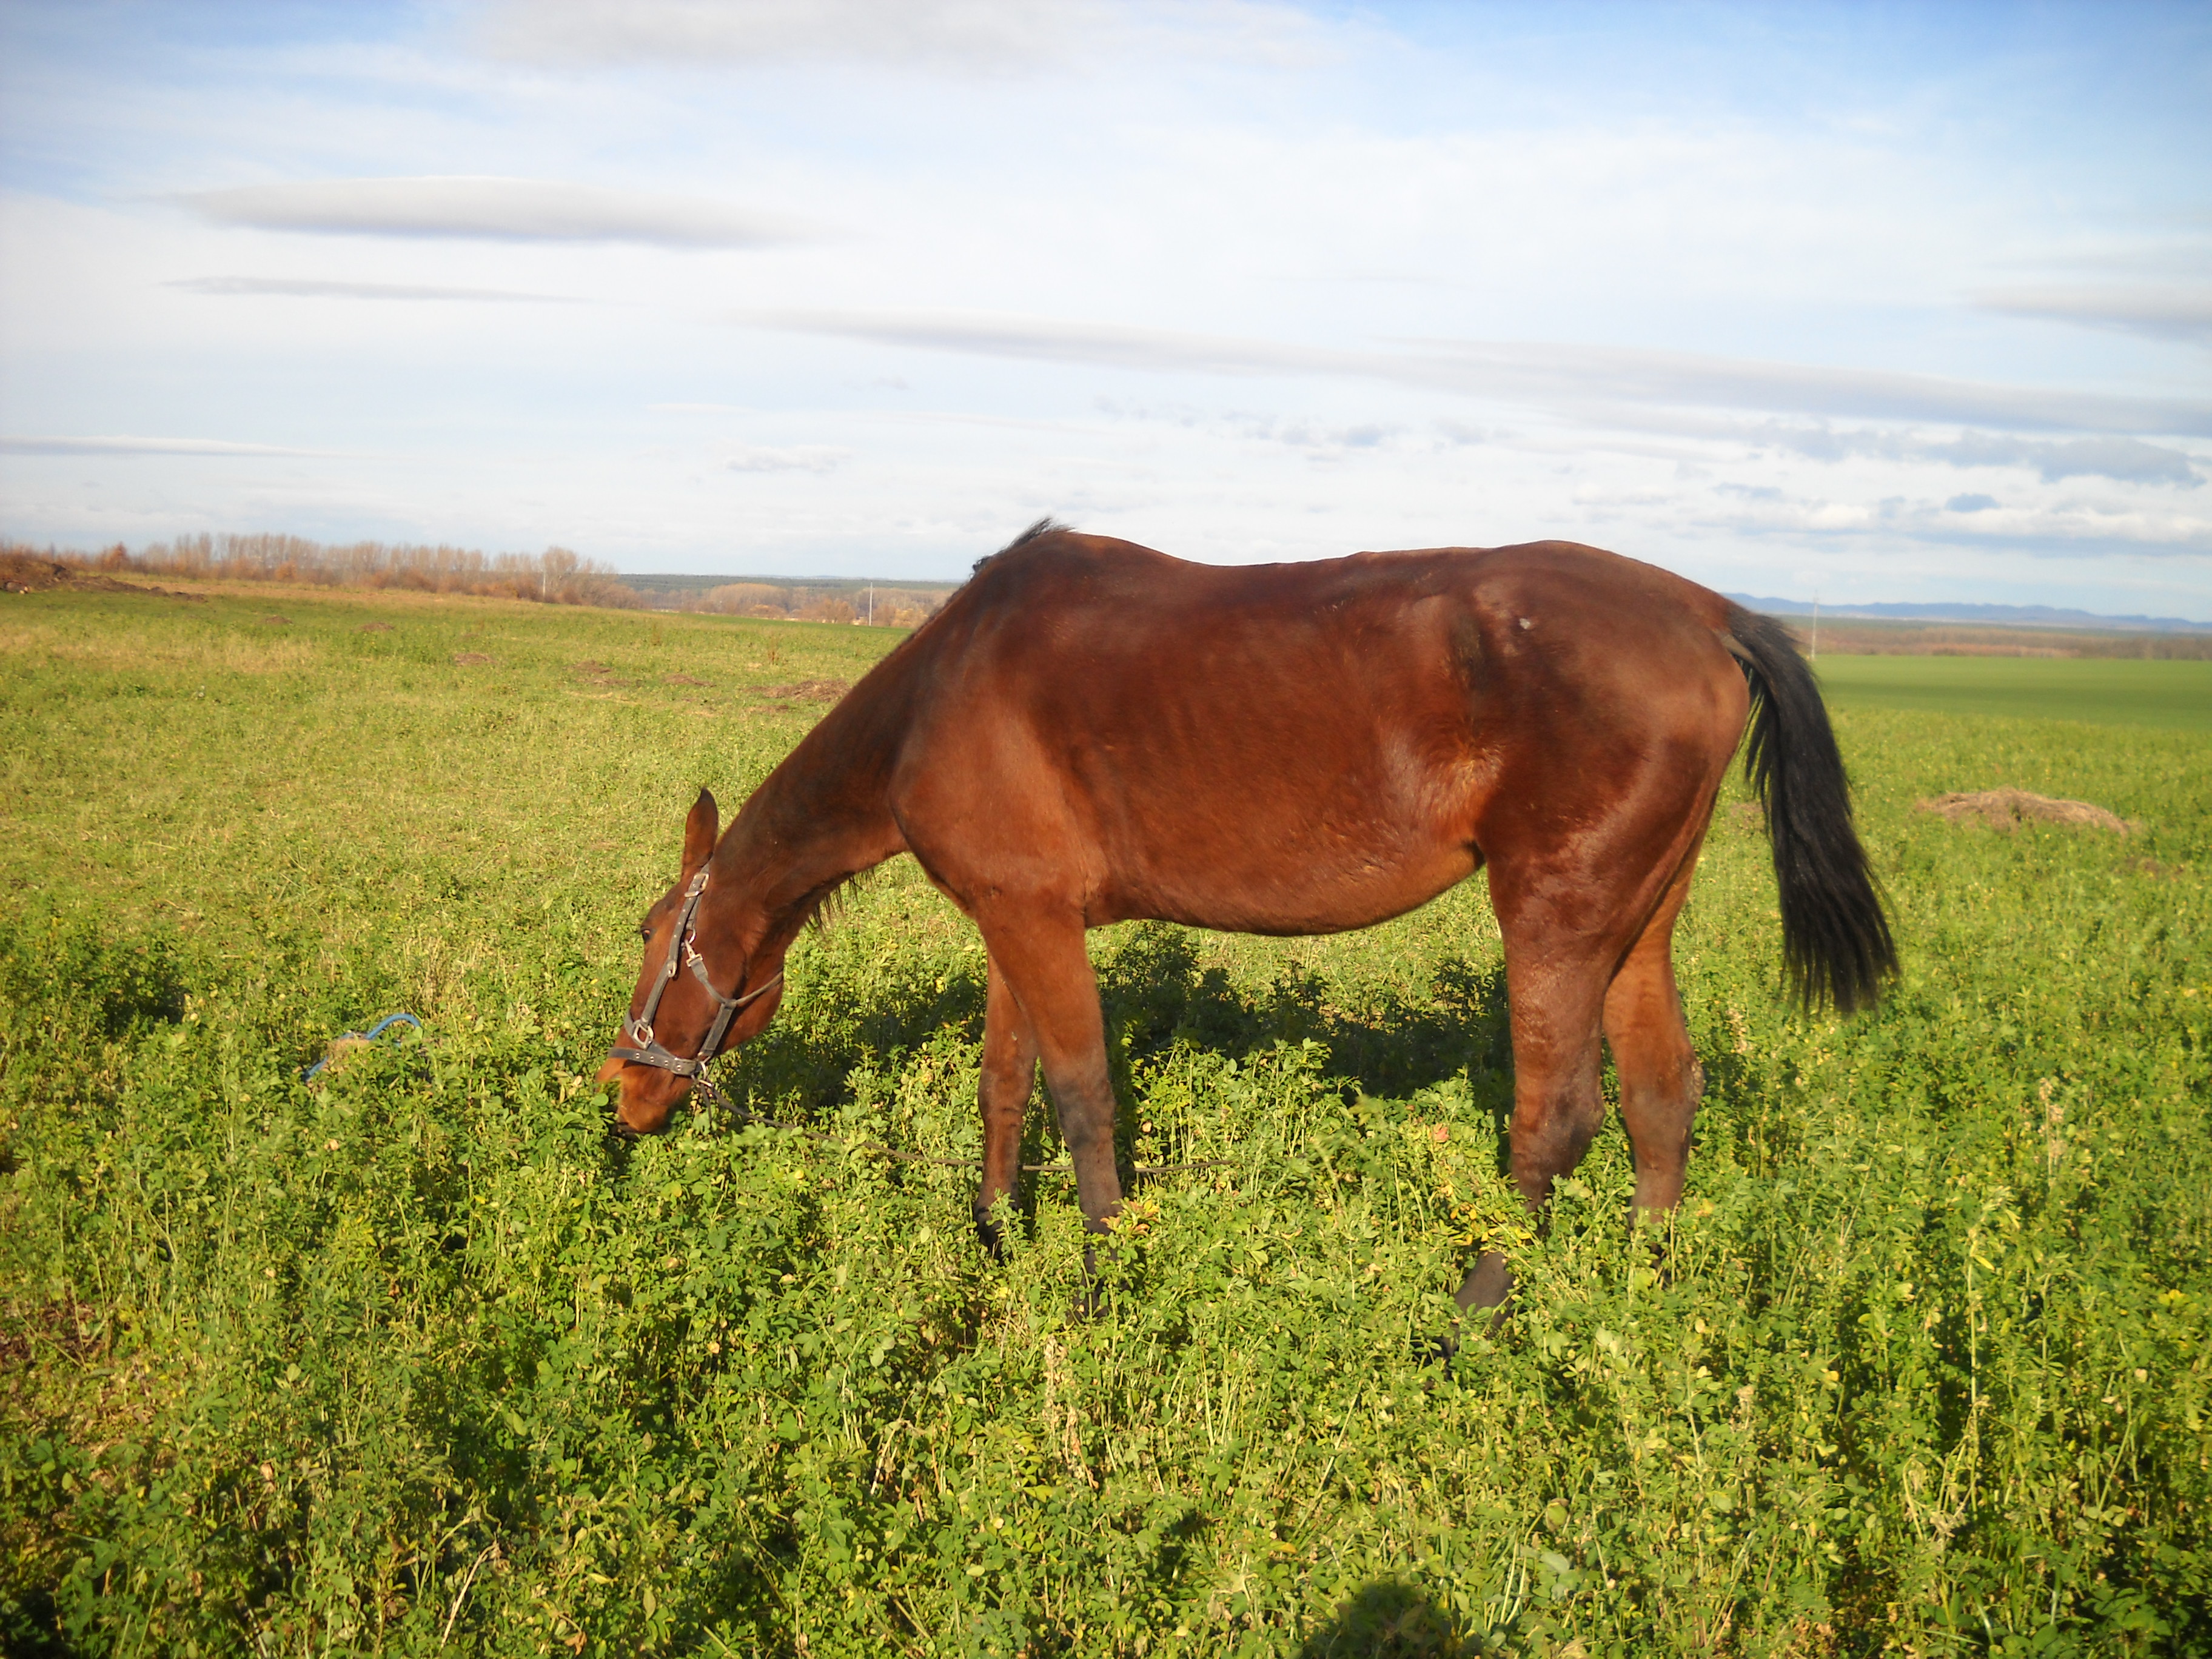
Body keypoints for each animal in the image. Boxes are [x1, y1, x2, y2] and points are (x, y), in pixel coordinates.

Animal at [597, 521, 1893, 1309]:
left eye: (657, 936)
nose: (623, 1094)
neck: (941, 692)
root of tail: (1710, 611)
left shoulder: (1036, 925)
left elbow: (1081, 1097)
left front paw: (1099, 1280)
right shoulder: (1016, 915)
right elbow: (1004, 1082)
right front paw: (993, 1237)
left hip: (1557, 916)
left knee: (1554, 1118)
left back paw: (1468, 1317)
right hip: (1640, 920)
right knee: (1661, 1096)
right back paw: (1643, 1291)